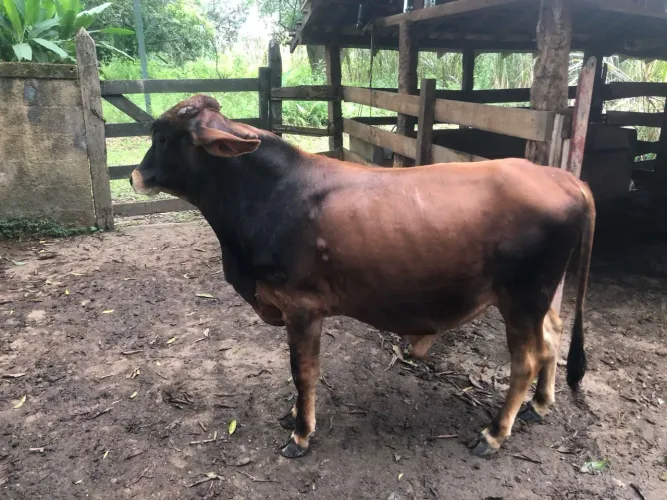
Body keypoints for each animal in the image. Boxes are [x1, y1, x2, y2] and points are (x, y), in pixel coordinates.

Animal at [130, 94, 595, 459]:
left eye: (161, 135)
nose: (135, 175)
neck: (268, 196)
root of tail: (562, 177)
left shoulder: (301, 308)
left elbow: (303, 371)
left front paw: (301, 433)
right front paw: (293, 417)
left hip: (522, 298)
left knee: (526, 361)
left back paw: (494, 434)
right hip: (540, 298)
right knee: (552, 338)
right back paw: (541, 403)